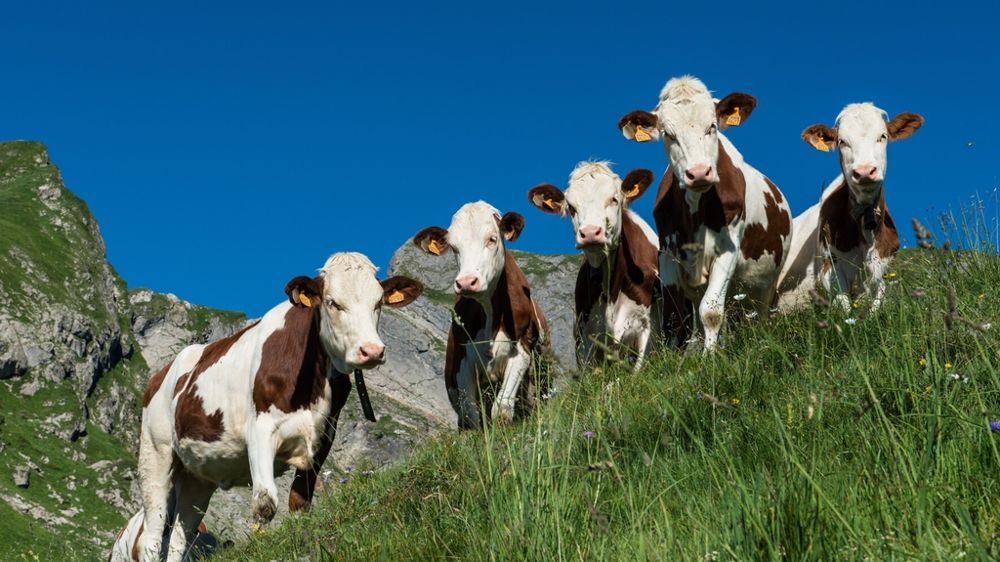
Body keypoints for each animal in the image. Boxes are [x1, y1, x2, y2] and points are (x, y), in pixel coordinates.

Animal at [137, 252, 423, 562]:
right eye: (333, 302)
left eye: (378, 302)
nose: (371, 351)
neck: (313, 384)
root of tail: (161, 373)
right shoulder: (260, 430)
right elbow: (265, 503)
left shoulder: (324, 436)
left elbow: (300, 501)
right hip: (156, 451)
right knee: (152, 536)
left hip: (197, 475)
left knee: (181, 535)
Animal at [412, 202, 549, 429]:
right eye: (454, 247)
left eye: (492, 239)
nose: (466, 282)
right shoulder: (462, 362)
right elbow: (472, 418)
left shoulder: (522, 348)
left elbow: (501, 410)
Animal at [618, 76, 792, 351]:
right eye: (668, 134)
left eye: (712, 126)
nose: (699, 172)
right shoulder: (667, 254)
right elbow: (674, 319)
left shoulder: (728, 249)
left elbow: (710, 312)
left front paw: (709, 357)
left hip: (766, 285)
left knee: (757, 316)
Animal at [777, 103, 923, 312]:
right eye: (842, 141)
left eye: (883, 136)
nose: (864, 171)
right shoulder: (829, 267)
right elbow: (845, 309)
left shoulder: (883, 270)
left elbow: (876, 305)